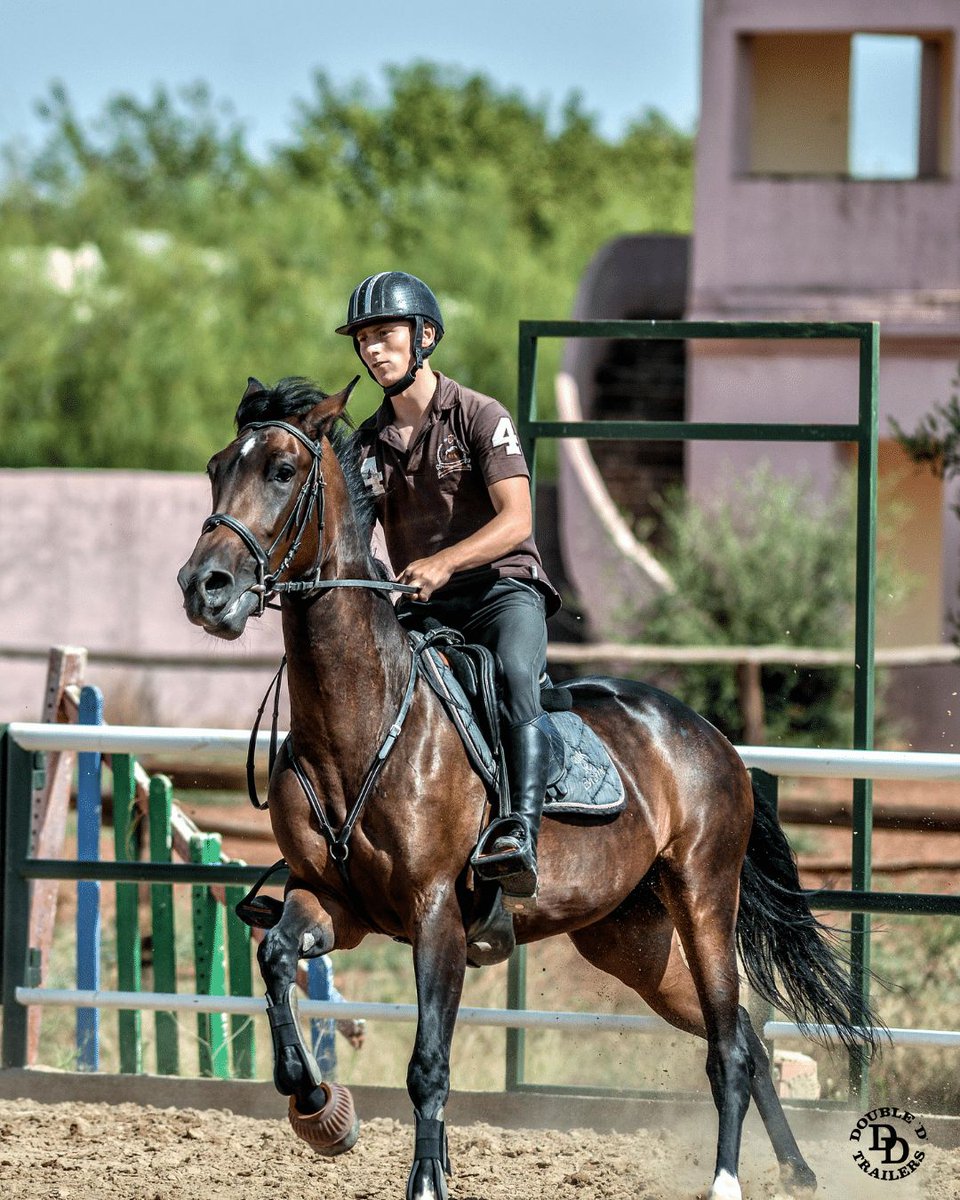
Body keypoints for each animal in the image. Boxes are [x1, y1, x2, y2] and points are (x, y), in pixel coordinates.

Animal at [177, 375, 877, 1200]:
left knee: (731, 1047)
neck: (361, 719)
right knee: (744, 1031)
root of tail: (710, 739)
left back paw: (728, 1180)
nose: (204, 588)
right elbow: (279, 961)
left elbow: (429, 1065)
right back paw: (797, 1170)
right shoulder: (335, 903)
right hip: (631, 941)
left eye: (282, 470)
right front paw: (319, 1108)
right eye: (218, 468)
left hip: (703, 896)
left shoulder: (437, 915)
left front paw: (426, 1180)